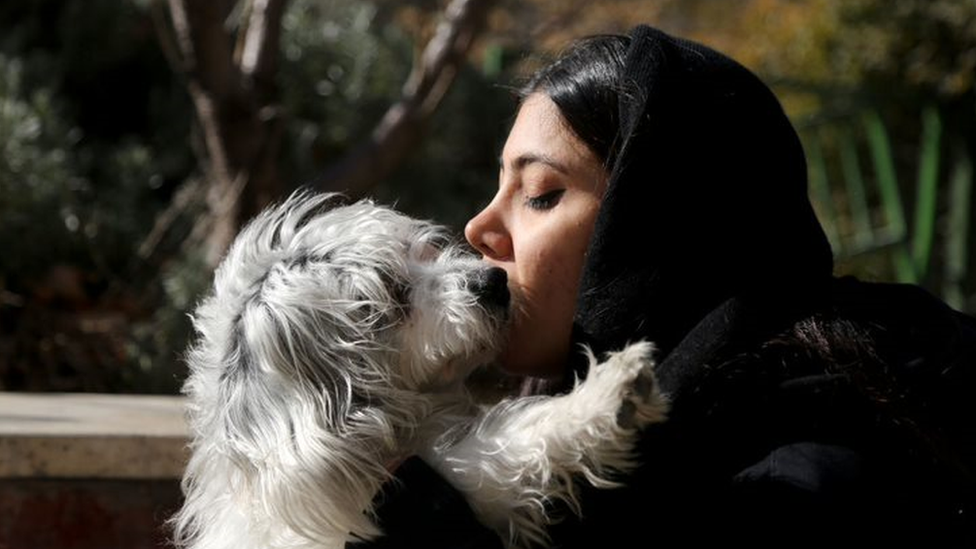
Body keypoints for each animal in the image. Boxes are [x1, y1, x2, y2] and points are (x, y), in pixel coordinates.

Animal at [172, 189, 668, 548]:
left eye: (425, 254)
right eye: (393, 295)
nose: (493, 281)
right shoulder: (452, 472)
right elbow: (510, 444)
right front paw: (610, 393)